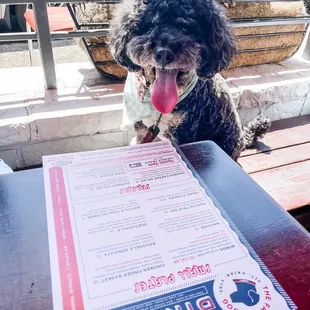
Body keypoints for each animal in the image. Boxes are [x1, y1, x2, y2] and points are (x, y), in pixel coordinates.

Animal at [108, 0, 270, 160]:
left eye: (185, 28)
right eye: (150, 25)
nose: (164, 54)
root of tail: (242, 139)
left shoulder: (184, 132)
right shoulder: (142, 129)